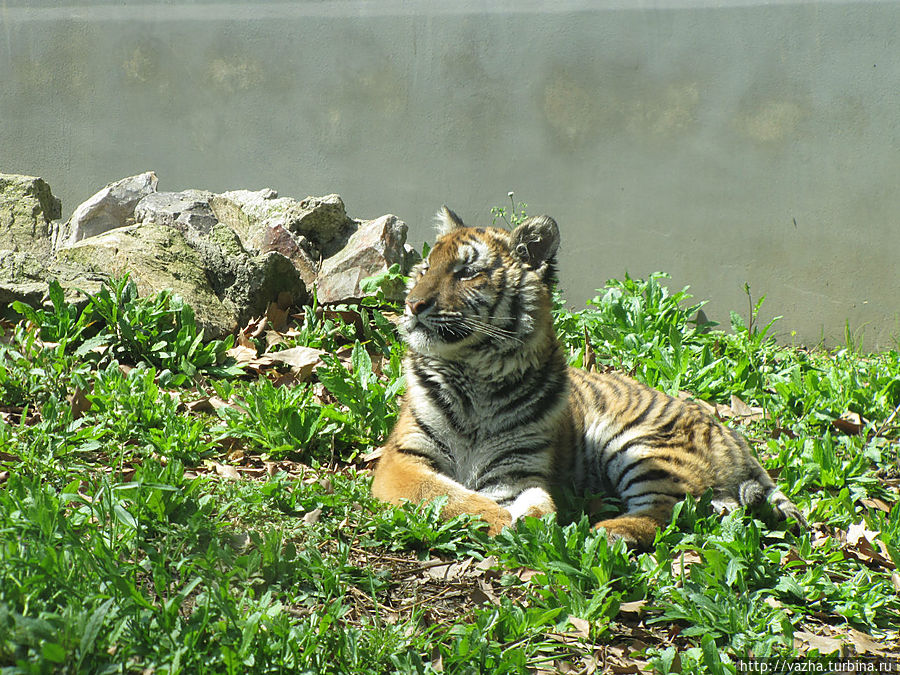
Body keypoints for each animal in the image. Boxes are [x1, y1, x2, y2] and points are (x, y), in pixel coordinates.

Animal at [370, 207, 804, 548]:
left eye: (466, 273)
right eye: (425, 268)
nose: (412, 304)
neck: (478, 375)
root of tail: (733, 435)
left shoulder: (515, 471)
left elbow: (533, 502)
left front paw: (534, 525)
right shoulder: (403, 461)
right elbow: (449, 494)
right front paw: (504, 521)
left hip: (643, 448)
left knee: (664, 511)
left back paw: (606, 531)